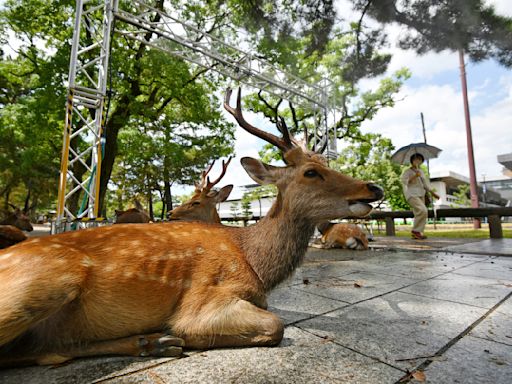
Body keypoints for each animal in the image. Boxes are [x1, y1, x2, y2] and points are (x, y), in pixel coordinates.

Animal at [0, 88, 384, 368]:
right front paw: (183, 334)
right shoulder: (207, 295)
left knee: (46, 349)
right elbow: (273, 325)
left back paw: (153, 343)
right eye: (311, 172)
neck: (254, 262)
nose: (374, 188)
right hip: (49, 279)